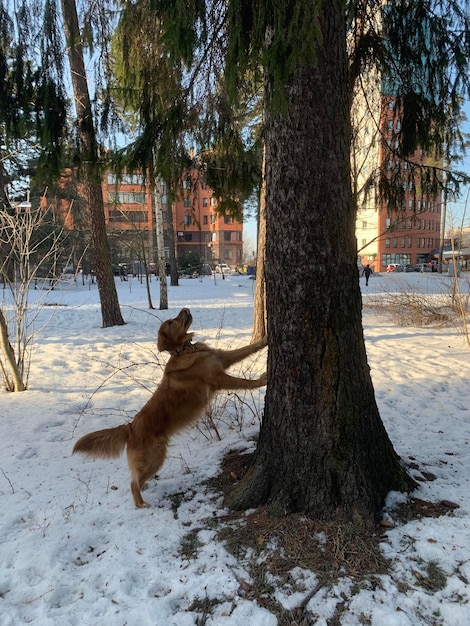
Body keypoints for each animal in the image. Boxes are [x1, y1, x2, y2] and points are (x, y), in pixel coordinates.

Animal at [71, 308, 266, 508]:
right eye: (171, 322)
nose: (185, 309)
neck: (185, 349)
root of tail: (130, 427)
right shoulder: (218, 378)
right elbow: (245, 382)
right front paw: (262, 380)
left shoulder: (222, 358)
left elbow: (247, 349)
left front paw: (265, 339)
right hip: (155, 457)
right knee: (133, 483)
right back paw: (142, 504)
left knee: (137, 479)